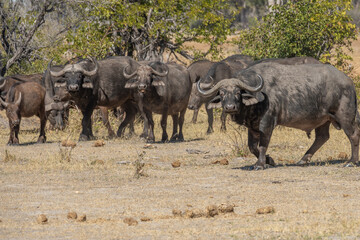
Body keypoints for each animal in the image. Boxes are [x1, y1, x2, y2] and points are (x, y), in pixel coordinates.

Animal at [197, 62, 360, 171]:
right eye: (222, 93)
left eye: (238, 92)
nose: (230, 107)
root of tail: (348, 81)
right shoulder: (252, 126)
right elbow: (252, 146)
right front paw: (269, 160)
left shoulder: (267, 124)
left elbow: (263, 145)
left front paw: (260, 164)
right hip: (323, 120)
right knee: (322, 137)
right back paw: (303, 160)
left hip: (345, 116)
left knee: (353, 135)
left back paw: (351, 161)